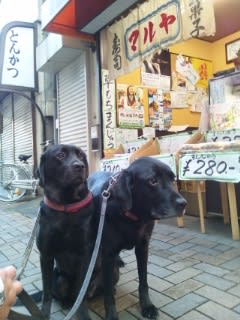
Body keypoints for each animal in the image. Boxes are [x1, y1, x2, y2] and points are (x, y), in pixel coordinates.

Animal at [36, 144, 94, 318]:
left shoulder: (84, 254)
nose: (80, 166)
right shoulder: (45, 255)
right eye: (60, 155)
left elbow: (81, 292)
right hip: (59, 279)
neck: (66, 207)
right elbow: (46, 293)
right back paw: (67, 303)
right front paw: (44, 315)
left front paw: (84, 315)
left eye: (81, 156)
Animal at [88, 158, 188, 320]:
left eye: (173, 179)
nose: (183, 203)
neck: (133, 217)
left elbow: (143, 280)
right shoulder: (108, 254)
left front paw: (147, 306)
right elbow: (108, 292)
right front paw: (111, 314)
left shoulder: (143, 247)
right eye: (153, 181)